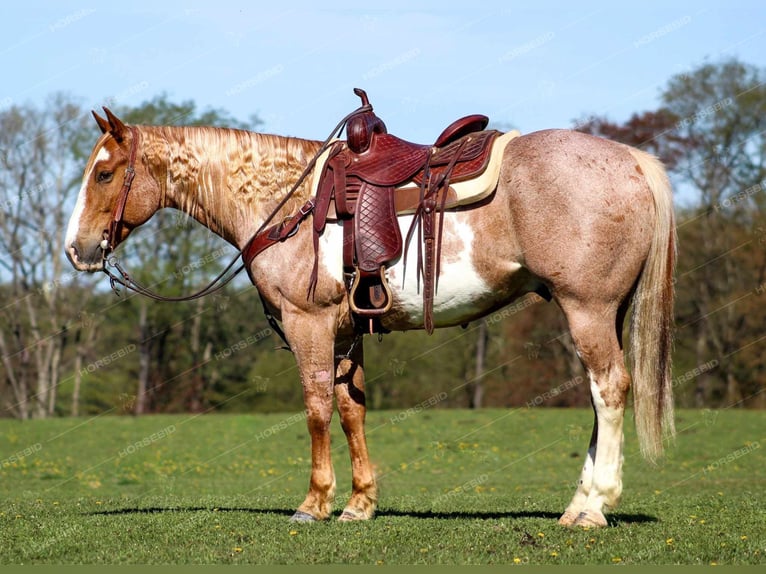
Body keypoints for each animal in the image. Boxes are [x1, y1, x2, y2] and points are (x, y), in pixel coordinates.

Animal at [67, 104, 680, 532]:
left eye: (104, 174)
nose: (77, 250)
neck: (285, 202)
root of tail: (631, 159)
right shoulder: (345, 334)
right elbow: (350, 411)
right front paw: (360, 504)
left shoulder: (309, 324)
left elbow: (316, 410)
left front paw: (314, 503)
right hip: (603, 313)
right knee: (599, 398)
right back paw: (578, 504)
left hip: (588, 309)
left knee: (609, 389)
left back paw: (594, 507)